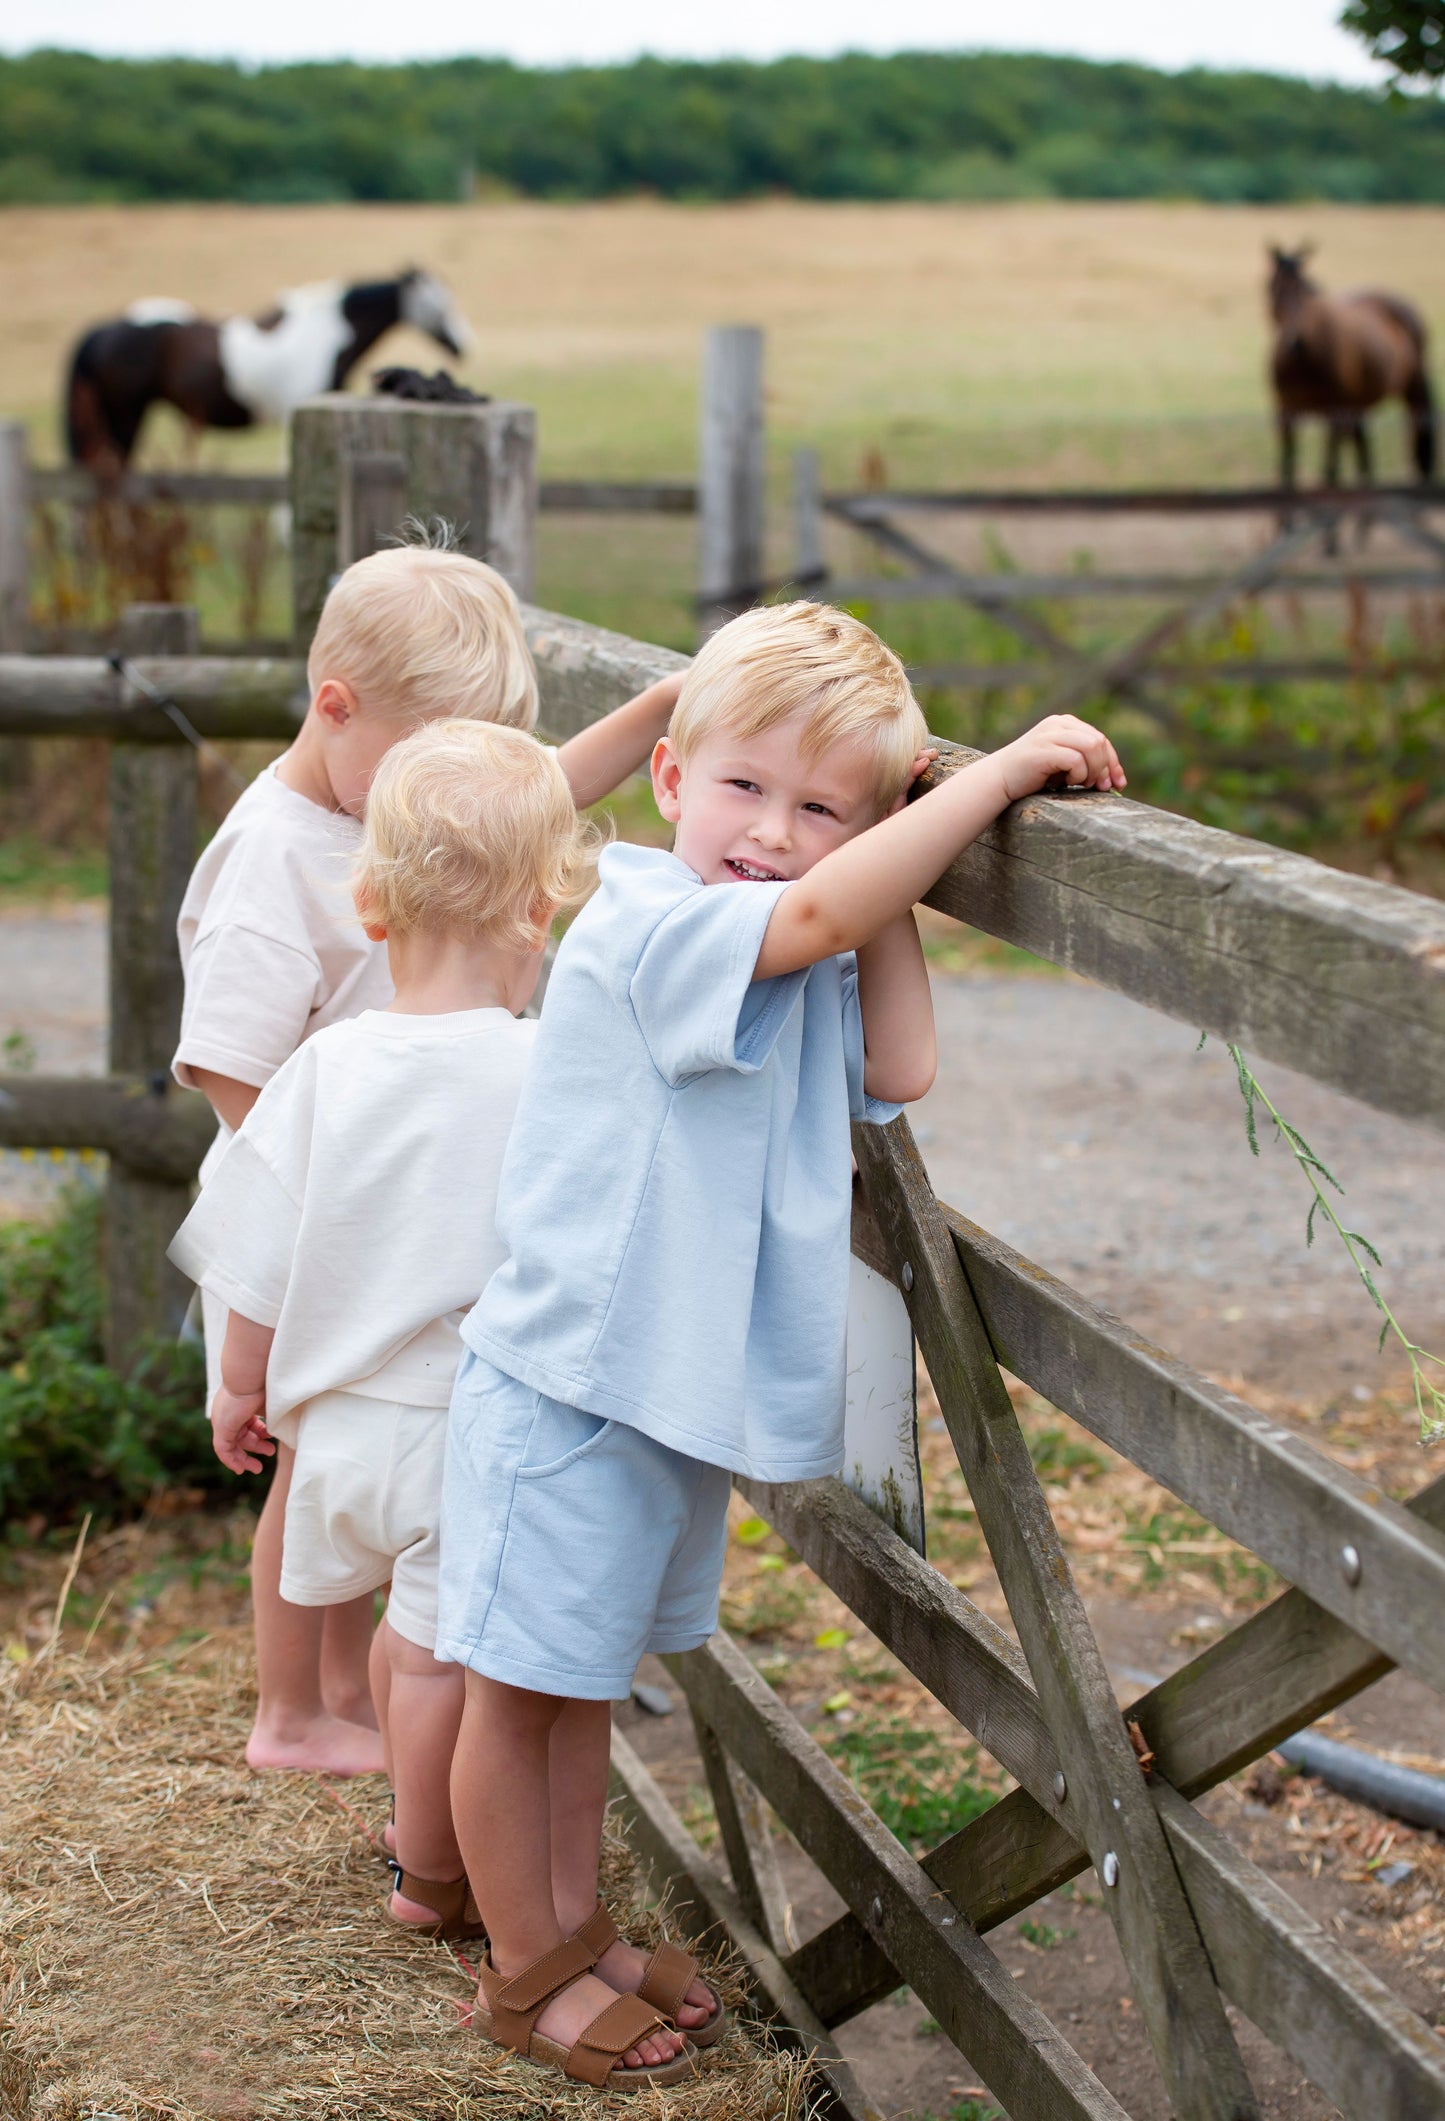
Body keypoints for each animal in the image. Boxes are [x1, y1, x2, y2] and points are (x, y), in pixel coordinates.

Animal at [1264, 244, 1434, 487]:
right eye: (1272, 288)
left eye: (1307, 289)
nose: (1295, 342)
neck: (1304, 362)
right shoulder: (1284, 410)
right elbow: (1288, 468)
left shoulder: (1336, 411)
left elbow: (1330, 470)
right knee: (1362, 444)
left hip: (1413, 388)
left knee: (1417, 430)